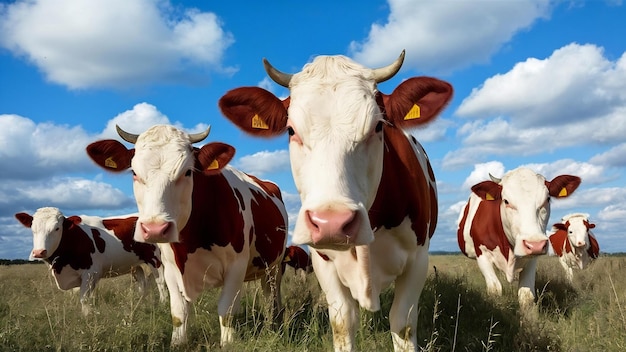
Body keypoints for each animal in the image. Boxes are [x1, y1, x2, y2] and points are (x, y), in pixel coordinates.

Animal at [14, 206, 166, 314]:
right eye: (33, 229)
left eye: (57, 228)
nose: (39, 252)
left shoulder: (90, 273)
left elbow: (84, 299)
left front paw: (86, 317)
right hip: (136, 264)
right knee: (143, 284)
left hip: (155, 259)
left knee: (161, 282)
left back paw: (162, 304)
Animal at [85, 124, 288, 346]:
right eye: (134, 173)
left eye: (188, 172)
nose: (155, 229)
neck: (191, 245)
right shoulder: (170, 269)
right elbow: (179, 313)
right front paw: (177, 343)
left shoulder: (236, 266)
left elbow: (226, 311)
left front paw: (227, 344)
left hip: (274, 265)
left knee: (271, 298)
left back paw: (273, 325)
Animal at [217, 50, 450, 352]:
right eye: (291, 130)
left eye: (378, 126)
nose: (331, 223)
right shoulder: (323, 262)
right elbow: (342, 323)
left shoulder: (418, 260)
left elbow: (403, 324)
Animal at [454, 168, 580, 308]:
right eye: (506, 201)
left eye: (547, 199)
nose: (535, 245)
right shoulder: (482, 254)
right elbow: (495, 289)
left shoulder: (532, 258)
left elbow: (526, 296)